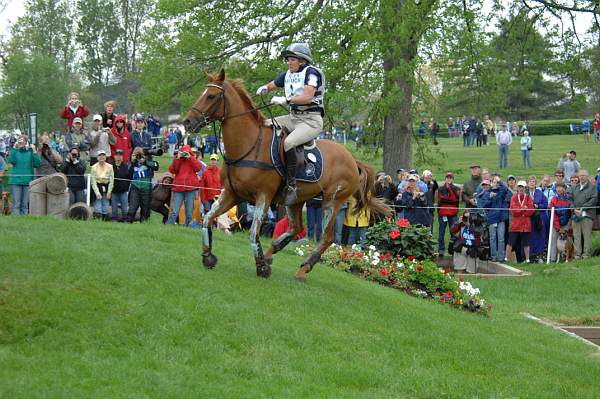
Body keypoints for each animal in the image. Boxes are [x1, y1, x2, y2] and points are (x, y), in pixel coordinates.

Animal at [180, 69, 392, 282]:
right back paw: (269, 255)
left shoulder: (263, 196)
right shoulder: (232, 194)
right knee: (295, 228)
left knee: (326, 238)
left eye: (211, 96)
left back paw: (302, 270)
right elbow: (207, 219)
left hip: (332, 202)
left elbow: (253, 232)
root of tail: (352, 160)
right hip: (295, 200)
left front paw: (261, 268)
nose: (187, 122)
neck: (250, 145)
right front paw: (208, 256)